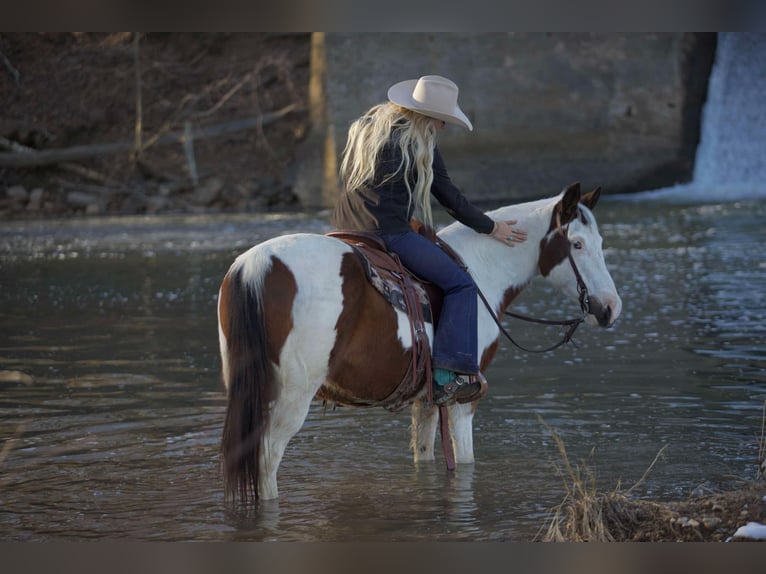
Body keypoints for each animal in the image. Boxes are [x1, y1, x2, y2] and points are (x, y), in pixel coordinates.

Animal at [217, 182, 622, 504]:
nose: (610, 308)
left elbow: (424, 456)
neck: (480, 271)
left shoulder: (427, 399)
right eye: (577, 244)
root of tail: (256, 265)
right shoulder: (464, 398)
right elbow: (466, 460)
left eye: (601, 242)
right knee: (266, 459)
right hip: (292, 394)